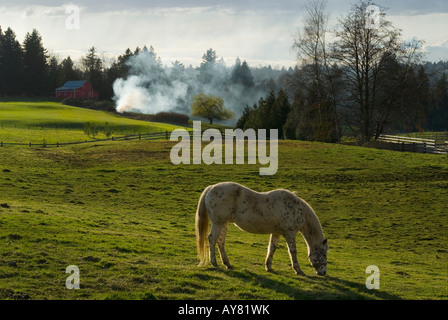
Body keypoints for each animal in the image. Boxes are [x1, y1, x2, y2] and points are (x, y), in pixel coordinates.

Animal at [194, 182, 328, 276]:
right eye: (324, 254)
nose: (323, 273)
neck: (296, 208)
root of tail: (211, 188)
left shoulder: (276, 232)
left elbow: (272, 248)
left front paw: (268, 266)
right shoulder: (290, 233)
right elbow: (293, 251)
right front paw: (298, 270)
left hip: (223, 224)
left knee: (220, 242)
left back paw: (228, 264)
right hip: (218, 223)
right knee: (212, 239)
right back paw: (214, 263)